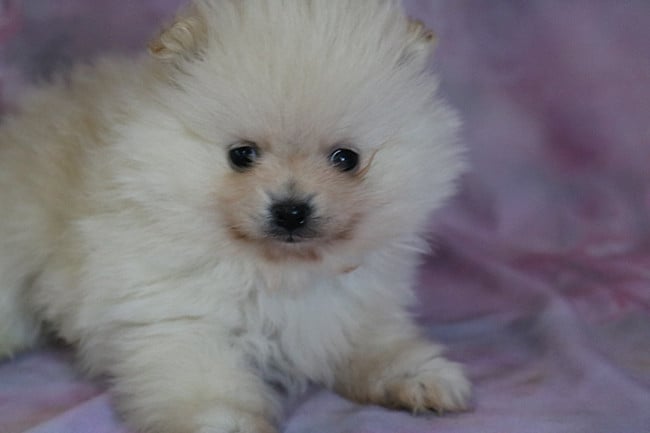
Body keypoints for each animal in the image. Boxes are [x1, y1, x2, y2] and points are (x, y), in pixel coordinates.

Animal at [0, 1, 470, 432]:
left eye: (346, 159)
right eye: (241, 155)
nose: (291, 210)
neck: (278, 272)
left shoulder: (354, 306)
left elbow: (380, 343)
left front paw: (420, 376)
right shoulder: (178, 318)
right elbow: (208, 387)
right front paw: (227, 424)